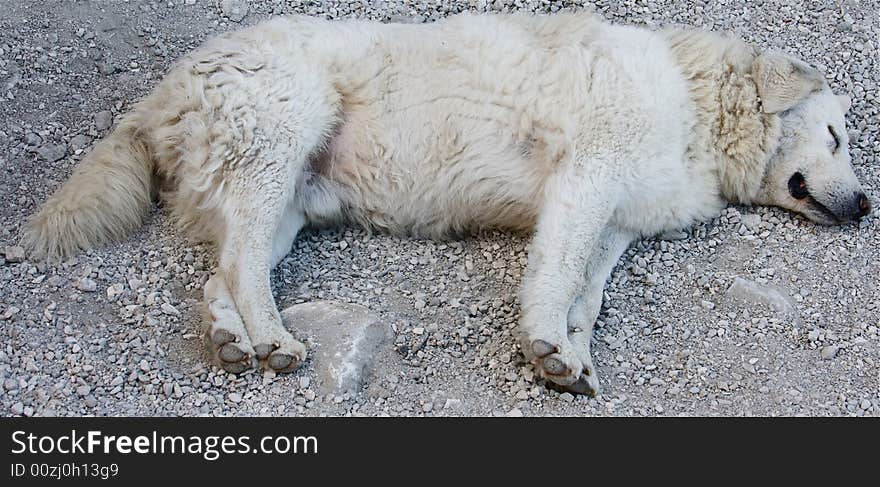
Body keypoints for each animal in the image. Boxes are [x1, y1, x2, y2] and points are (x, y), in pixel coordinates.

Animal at [24, 12, 868, 396]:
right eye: (834, 134)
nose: (865, 205)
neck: (699, 104)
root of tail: (164, 90)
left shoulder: (617, 223)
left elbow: (588, 295)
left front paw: (572, 356)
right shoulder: (585, 179)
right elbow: (557, 275)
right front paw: (545, 343)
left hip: (286, 201)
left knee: (222, 271)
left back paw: (235, 339)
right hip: (281, 140)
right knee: (237, 263)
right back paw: (271, 339)